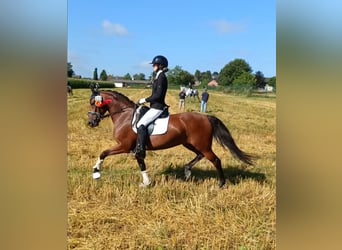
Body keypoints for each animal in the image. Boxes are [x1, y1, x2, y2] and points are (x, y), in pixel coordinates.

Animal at [87, 90, 255, 188]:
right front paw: (146, 183)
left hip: (202, 145)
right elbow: (141, 164)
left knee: (215, 160)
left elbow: (103, 153)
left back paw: (220, 184)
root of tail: (206, 117)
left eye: (94, 103)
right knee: (200, 155)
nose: (90, 123)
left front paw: (96, 172)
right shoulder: (135, 149)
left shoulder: (124, 146)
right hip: (190, 144)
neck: (125, 116)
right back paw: (187, 171)